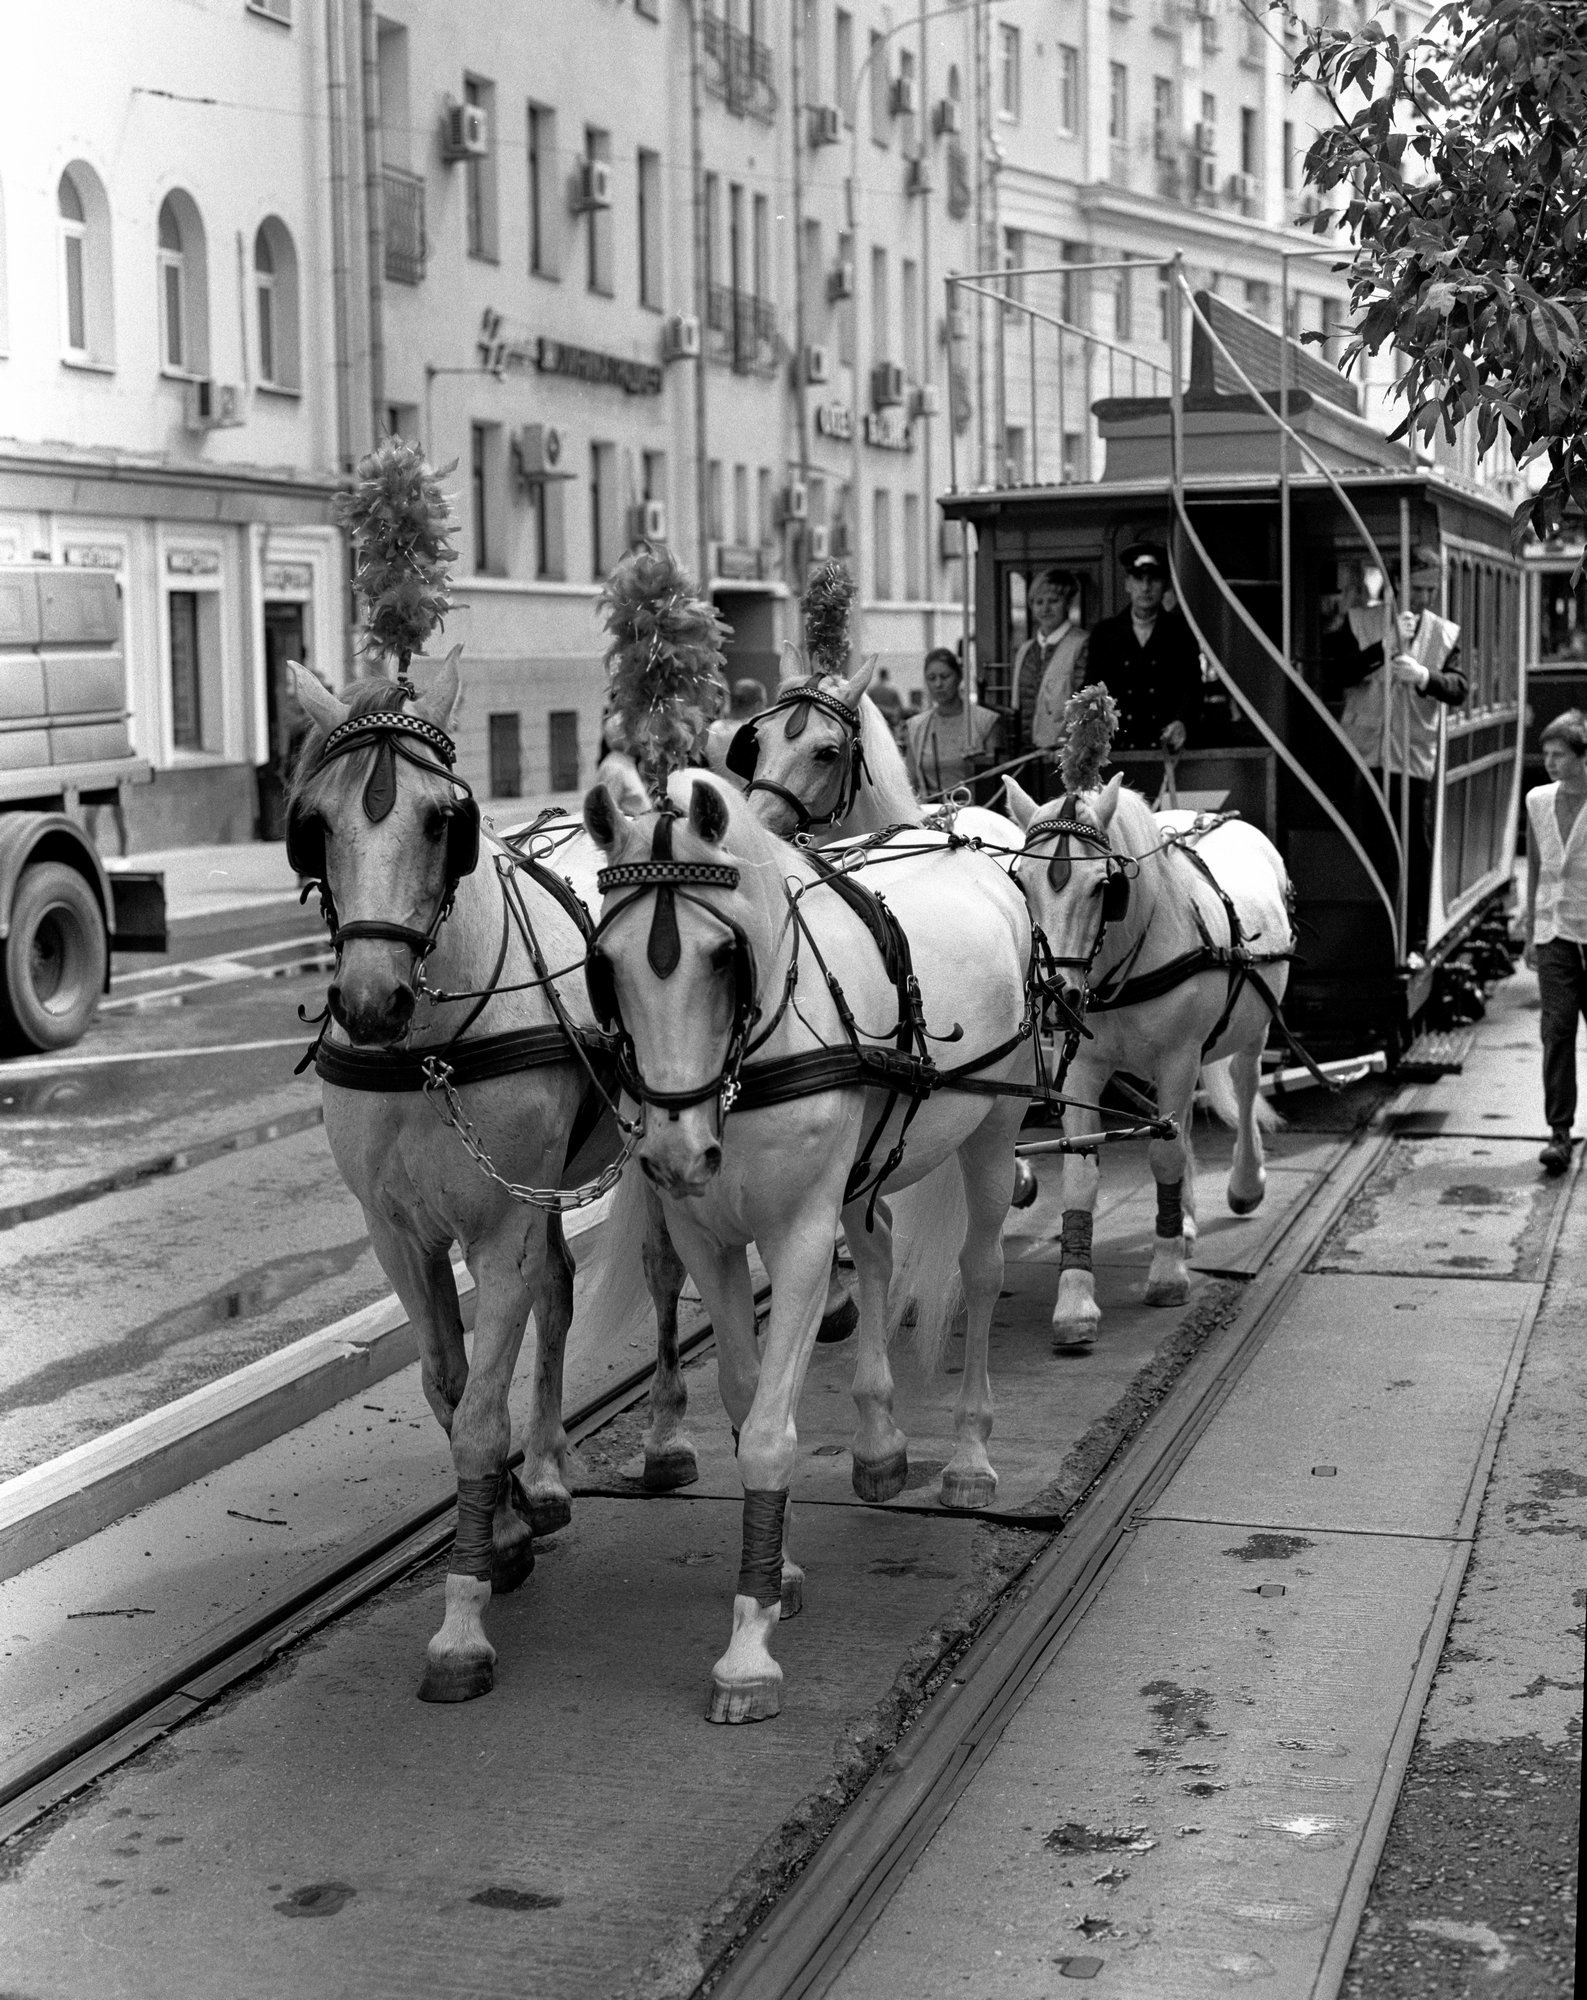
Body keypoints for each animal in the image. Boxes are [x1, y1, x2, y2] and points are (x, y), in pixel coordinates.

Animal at [291, 656, 699, 1704]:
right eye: (314, 820)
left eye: (446, 819)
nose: (370, 1002)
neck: (429, 1049)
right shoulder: (401, 1237)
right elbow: (446, 1385)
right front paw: (509, 1524)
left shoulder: (497, 1232)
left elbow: (477, 1415)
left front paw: (463, 1619)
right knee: (558, 1291)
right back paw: (549, 1469)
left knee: (660, 1271)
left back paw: (664, 1438)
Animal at [579, 772, 1023, 1728]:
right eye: (606, 964)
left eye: (721, 956)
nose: (674, 1154)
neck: (749, 1064)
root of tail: (964, 830)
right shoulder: (705, 1239)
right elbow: (747, 1398)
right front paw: (774, 1569)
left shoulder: (800, 1238)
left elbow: (771, 1432)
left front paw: (748, 1652)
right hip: (870, 1159)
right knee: (882, 1248)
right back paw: (880, 1444)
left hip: (996, 1127)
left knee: (979, 1269)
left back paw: (968, 1456)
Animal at [1007, 772, 1295, 1352]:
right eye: (1022, 883)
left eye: (1105, 886)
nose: (1057, 1000)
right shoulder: (1086, 1070)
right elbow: (1081, 1173)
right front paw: (1075, 1302)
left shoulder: (1179, 1056)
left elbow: (1164, 1155)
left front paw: (1166, 1275)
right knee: (1182, 1121)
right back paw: (1182, 1220)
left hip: (1251, 1027)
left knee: (1243, 1083)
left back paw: (1244, 1183)